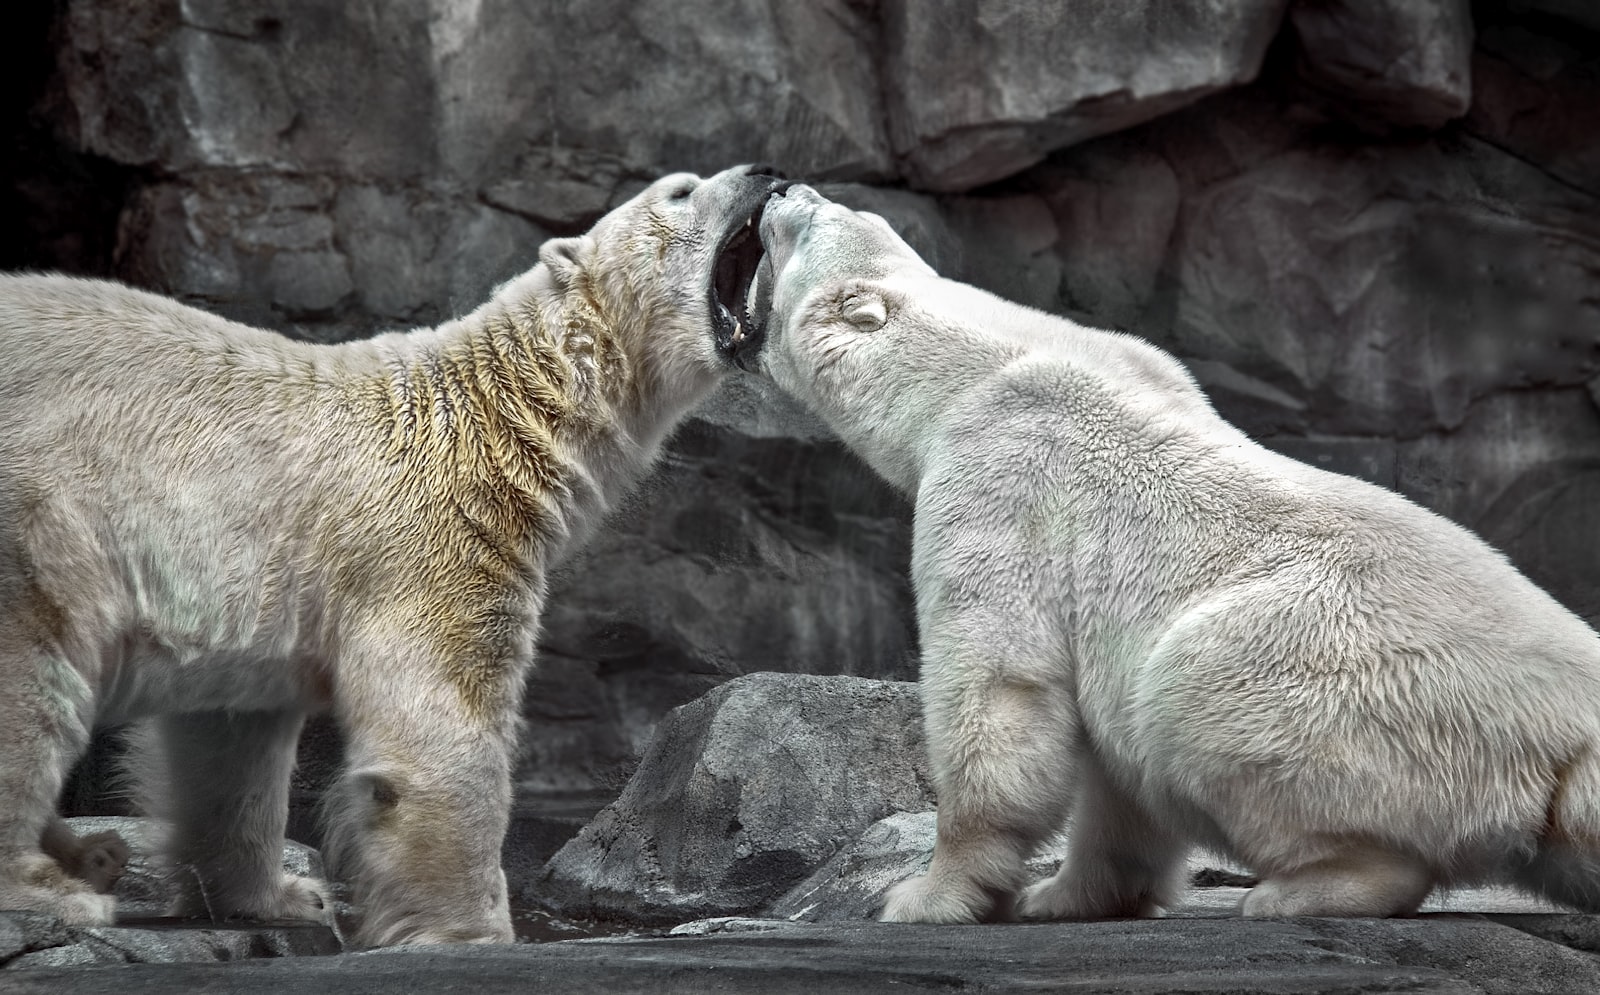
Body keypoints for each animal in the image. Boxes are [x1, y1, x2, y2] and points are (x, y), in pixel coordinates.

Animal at [0, 165, 784, 953]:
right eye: (681, 190)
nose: (765, 174)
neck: (496, 421)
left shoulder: (252, 584)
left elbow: (231, 737)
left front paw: (284, 894)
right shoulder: (435, 542)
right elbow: (443, 726)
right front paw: (474, 932)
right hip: (39, 512)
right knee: (32, 668)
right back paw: (53, 886)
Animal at [720, 185, 1600, 927]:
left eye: (809, 223)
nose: (779, 186)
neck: (985, 366)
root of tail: (1570, 734)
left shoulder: (998, 476)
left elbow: (998, 680)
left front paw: (927, 895)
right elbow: (1116, 776)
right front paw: (1062, 895)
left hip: (1350, 679)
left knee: (1191, 687)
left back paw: (1297, 889)